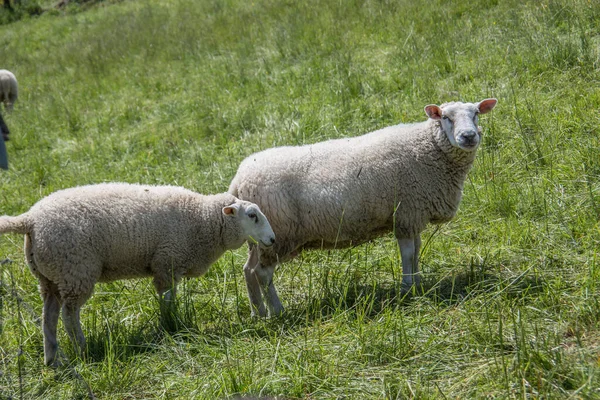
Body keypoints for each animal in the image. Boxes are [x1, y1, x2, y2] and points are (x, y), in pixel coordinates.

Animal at [0, 182, 276, 366]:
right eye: (252, 216)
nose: (273, 240)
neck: (202, 219)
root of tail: (30, 219)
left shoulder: (167, 265)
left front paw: (169, 324)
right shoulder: (166, 262)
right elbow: (167, 300)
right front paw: (170, 325)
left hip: (50, 278)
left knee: (48, 317)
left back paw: (52, 360)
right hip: (75, 270)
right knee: (69, 315)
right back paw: (83, 348)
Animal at [230, 97, 496, 316]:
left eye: (476, 113)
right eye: (445, 117)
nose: (469, 136)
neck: (427, 149)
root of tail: (238, 181)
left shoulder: (411, 216)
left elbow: (417, 250)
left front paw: (418, 283)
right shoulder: (406, 213)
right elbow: (408, 254)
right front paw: (407, 288)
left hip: (260, 236)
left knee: (248, 270)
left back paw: (258, 312)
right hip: (279, 235)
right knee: (262, 273)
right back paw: (277, 310)